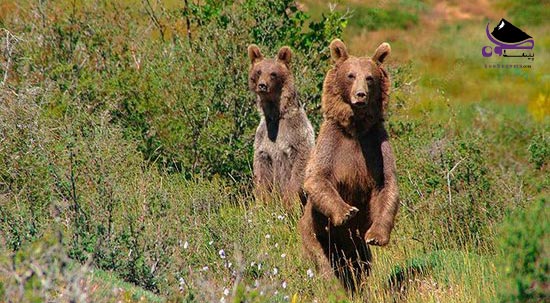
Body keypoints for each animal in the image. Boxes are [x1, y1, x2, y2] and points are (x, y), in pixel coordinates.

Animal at [249, 45, 314, 210]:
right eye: (259, 71)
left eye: (273, 73)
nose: (262, 85)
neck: (275, 115)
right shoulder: (263, 137)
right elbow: (261, 169)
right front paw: (262, 201)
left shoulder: (295, 133)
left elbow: (300, 162)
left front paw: (289, 200)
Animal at [300, 38, 398, 292]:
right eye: (351, 75)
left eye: (370, 77)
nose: (361, 95)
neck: (356, 129)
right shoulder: (332, 143)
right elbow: (317, 177)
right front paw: (347, 211)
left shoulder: (376, 145)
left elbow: (387, 185)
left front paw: (377, 235)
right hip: (315, 235)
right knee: (324, 264)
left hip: (356, 247)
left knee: (361, 266)